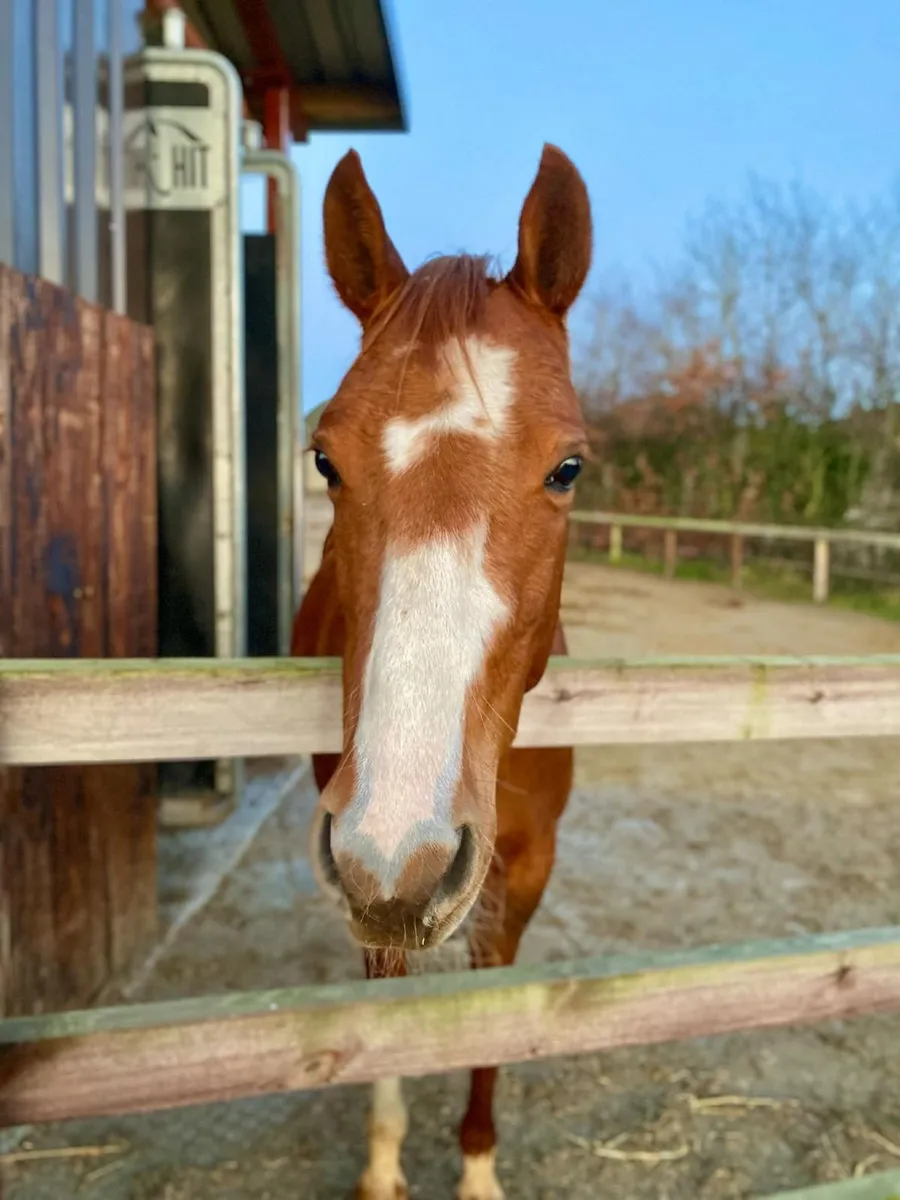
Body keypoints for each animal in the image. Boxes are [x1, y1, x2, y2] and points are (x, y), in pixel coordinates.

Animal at [291, 142, 592, 1200]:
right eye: (325, 460)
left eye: (569, 468)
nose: (401, 845)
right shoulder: (367, 885)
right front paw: (386, 1165)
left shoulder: (525, 870)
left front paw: (477, 1168)